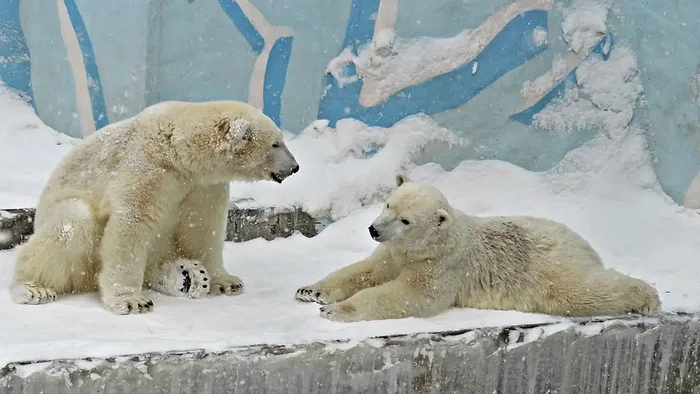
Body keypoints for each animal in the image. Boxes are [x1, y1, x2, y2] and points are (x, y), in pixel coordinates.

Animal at [11, 100, 298, 316]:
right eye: (276, 143)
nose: (294, 167)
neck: (178, 150)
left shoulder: (203, 185)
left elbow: (202, 228)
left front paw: (226, 281)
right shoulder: (148, 168)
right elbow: (131, 224)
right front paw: (130, 300)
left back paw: (189, 276)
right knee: (72, 223)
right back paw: (33, 288)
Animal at [296, 174, 660, 322]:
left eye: (406, 220)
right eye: (388, 203)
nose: (373, 229)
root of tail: (582, 242)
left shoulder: (442, 266)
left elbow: (409, 296)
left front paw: (334, 311)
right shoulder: (395, 252)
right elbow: (367, 269)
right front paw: (310, 291)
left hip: (549, 267)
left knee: (581, 291)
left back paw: (648, 298)